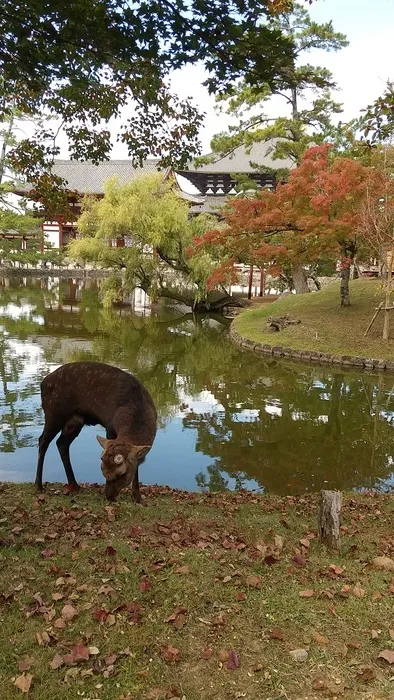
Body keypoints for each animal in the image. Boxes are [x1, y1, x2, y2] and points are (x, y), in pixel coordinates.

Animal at [34, 360, 157, 504]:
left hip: (75, 420)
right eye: (103, 471)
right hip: (54, 412)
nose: (109, 496)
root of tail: (43, 383)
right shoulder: (110, 427)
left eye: (122, 474)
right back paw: (38, 485)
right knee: (43, 440)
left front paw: (138, 499)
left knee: (61, 443)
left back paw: (74, 485)